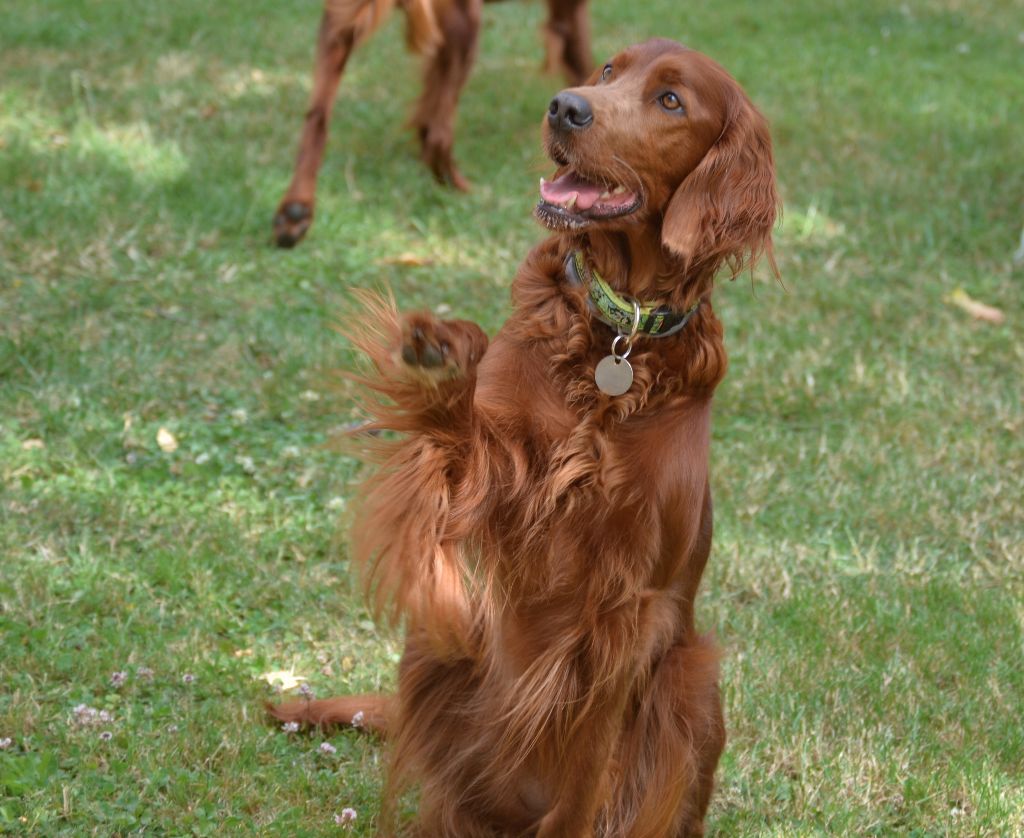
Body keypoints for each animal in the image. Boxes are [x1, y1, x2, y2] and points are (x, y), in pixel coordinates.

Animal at [272, 0, 593, 244]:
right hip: (465, 23)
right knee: (438, 135)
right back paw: (461, 187)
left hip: (338, 29)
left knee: (317, 117)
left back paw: (295, 209)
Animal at [272, 35, 774, 831]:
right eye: (608, 70)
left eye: (671, 100)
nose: (565, 107)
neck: (614, 338)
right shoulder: (495, 483)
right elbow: (459, 428)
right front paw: (441, 354)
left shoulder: (627, 609)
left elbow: (586, 777)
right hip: (443, 651)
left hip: (691, 679)